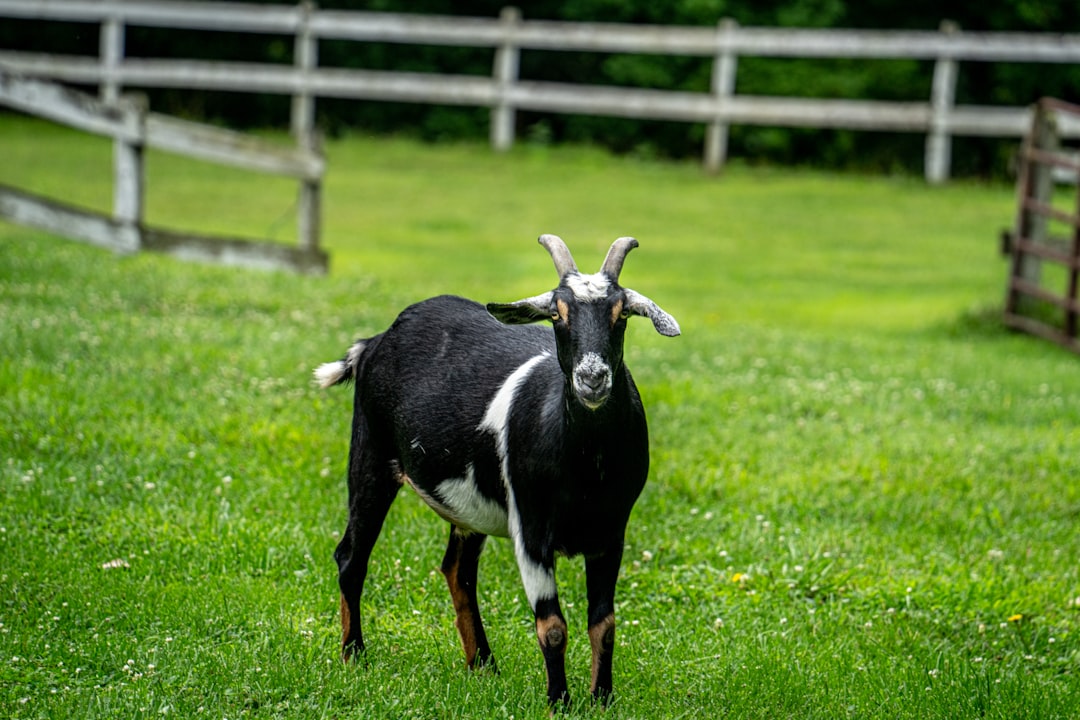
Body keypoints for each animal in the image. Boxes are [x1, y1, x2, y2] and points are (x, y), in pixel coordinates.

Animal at [315, 234, 679, 706]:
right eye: (556, 314)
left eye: (622, 314)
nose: (593, 378)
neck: (585, 468)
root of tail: (376, 341)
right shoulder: (531, 528)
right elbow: (553, 627)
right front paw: (559, 703)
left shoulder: (610, 531)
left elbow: (604, 624)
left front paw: (602, 699)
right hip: (370, 454)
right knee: (351, 557)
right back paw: (353, 654)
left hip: (465, 508)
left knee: (457, 571)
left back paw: (483, 664)